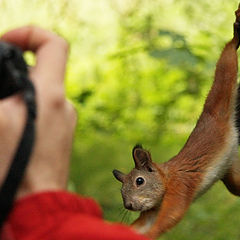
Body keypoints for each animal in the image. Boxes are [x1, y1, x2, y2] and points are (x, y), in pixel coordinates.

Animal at [113, 4, 240, 239]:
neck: (166, 177)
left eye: (139, 181)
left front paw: (151, 234)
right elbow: (142, 224)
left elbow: (172, 215)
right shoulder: (152, 209)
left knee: (227, 62)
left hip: (222, 86)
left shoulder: (180, 187)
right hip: (232, 173)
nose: (129, 205)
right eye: (121, 188)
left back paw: (235, 36)